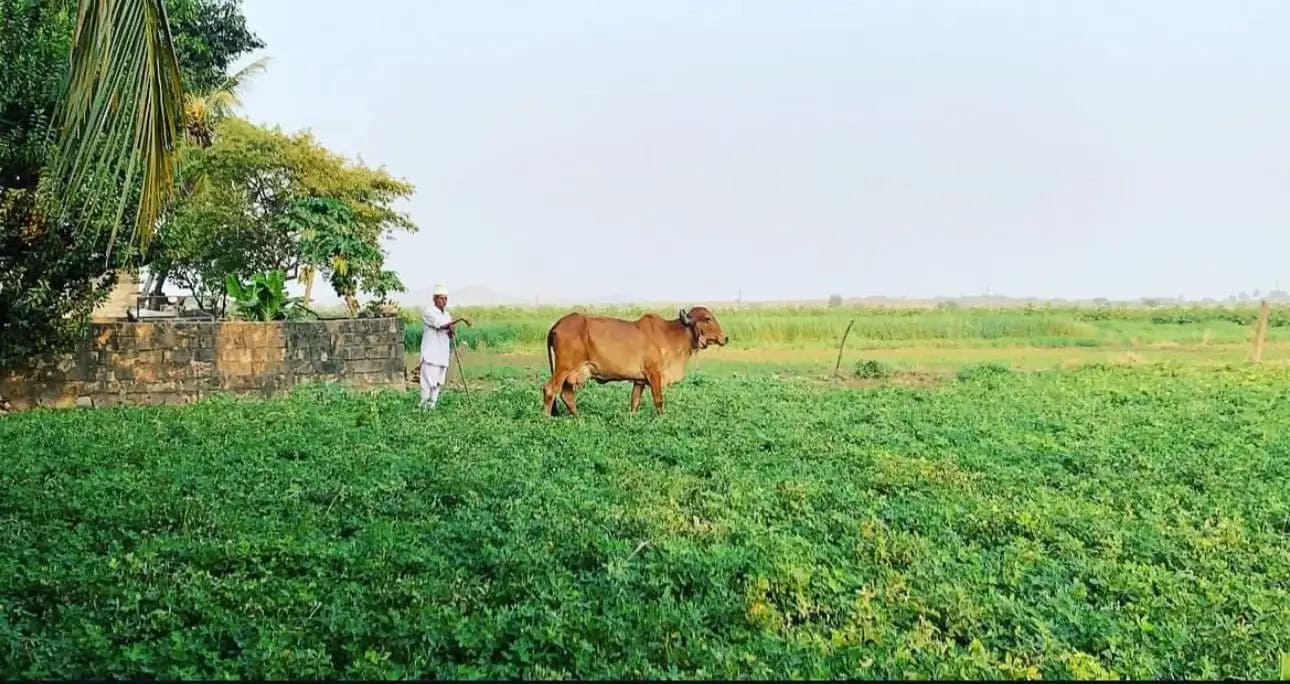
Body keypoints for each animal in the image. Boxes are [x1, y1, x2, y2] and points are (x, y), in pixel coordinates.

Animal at [542, 307, 729, 416]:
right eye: (707, 319)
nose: (725, 338)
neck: (673, 334)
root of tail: (557, 324)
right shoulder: (654, 374)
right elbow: (658, 400)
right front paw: (662, 419)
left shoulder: (639, 381)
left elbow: (635, 402)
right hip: (564, 368)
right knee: (550, 389)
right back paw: (546, 419)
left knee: (566, 394)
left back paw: (577, 418)